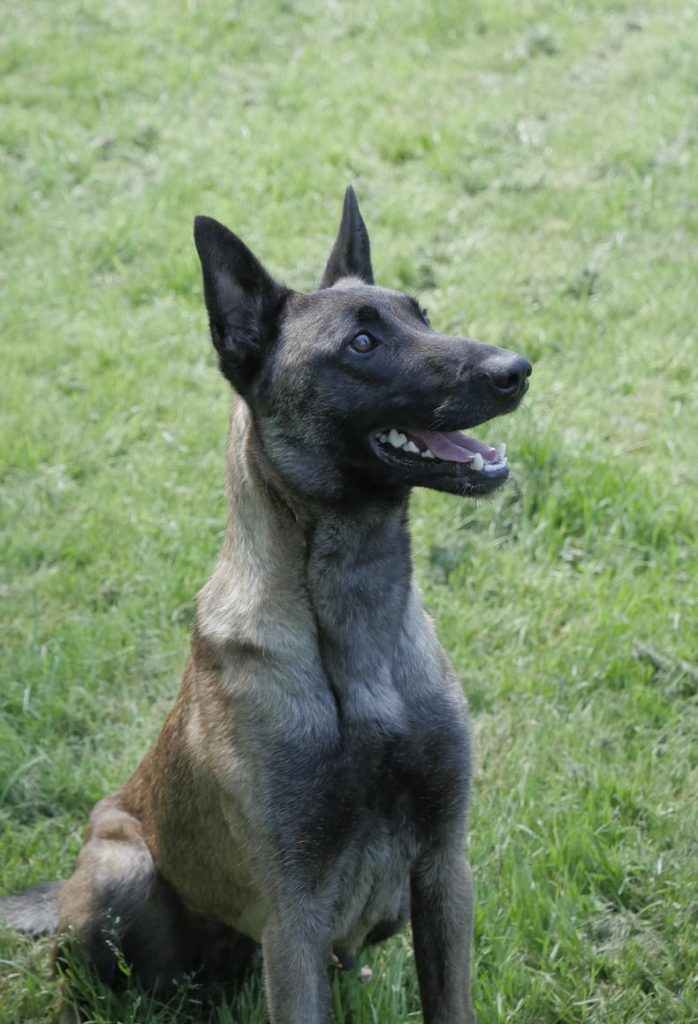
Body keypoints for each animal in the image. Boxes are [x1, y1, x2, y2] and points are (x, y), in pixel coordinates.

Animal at [0, 187, 530, 1023]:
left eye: (422, 314)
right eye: (362, 343)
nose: (517, 371)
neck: (354, 628)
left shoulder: (445, 869)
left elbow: (450, 998)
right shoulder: (294, 915)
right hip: (121, 868)